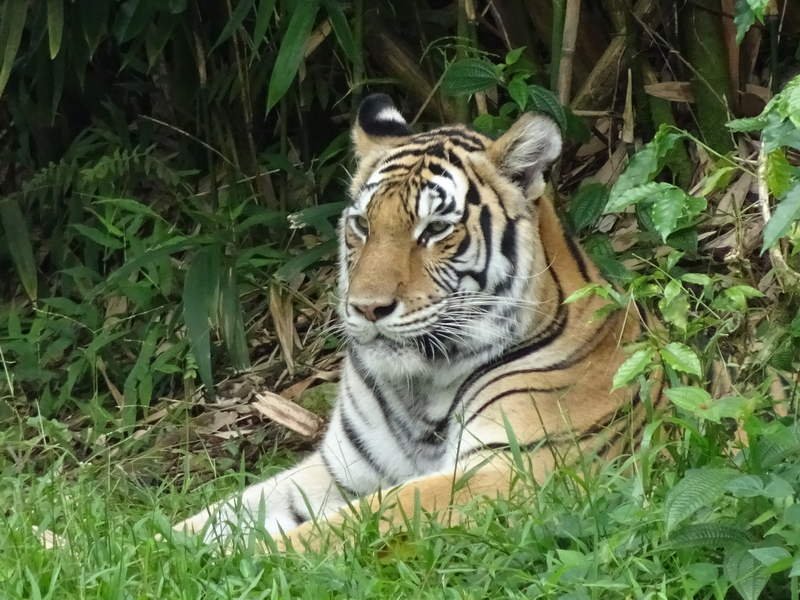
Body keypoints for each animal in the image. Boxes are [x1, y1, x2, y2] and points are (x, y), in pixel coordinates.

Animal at [172, 92, 652, 548]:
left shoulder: (510, 470)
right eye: (362, 225)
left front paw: (253, 558)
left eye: (436, 229)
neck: (421, 389)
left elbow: (347, 525)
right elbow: (219, 516)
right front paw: (168, 546)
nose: (368, 307)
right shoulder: (339, 468)